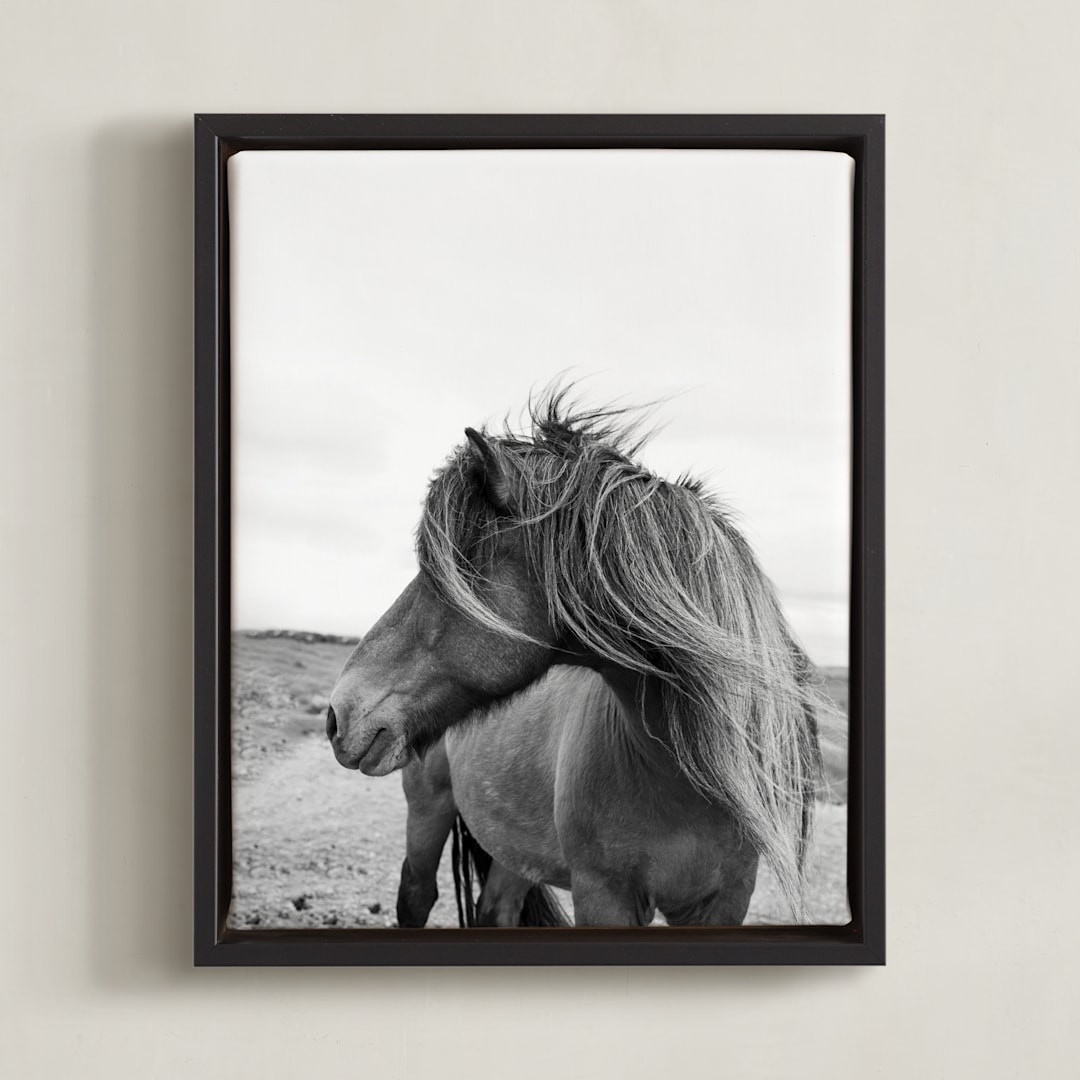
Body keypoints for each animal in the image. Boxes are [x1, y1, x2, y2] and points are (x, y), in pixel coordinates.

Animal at [326, 390, 828, 927]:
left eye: (456, 569)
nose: (339, 714)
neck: (684, 776)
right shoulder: (603, 895)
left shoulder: (727, 899)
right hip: (428, 810)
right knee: (417, 895)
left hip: (513, 845)